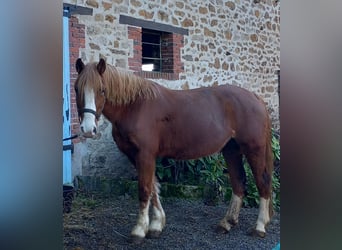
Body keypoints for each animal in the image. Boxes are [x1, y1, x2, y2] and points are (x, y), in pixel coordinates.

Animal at [75, 58, 276, 242]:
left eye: (101, 90)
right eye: (77, 89)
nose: (88, 129)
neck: (135, 106)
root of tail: (255, 98)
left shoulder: (145, 155)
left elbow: (144, 189)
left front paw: (139, 230)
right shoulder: (136, 156)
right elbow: (153, 187)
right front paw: (157, 225)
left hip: (254, 149)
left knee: (262, 182)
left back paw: (259, 226)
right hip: (231, 150)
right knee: (238, 182)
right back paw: (226, 223)